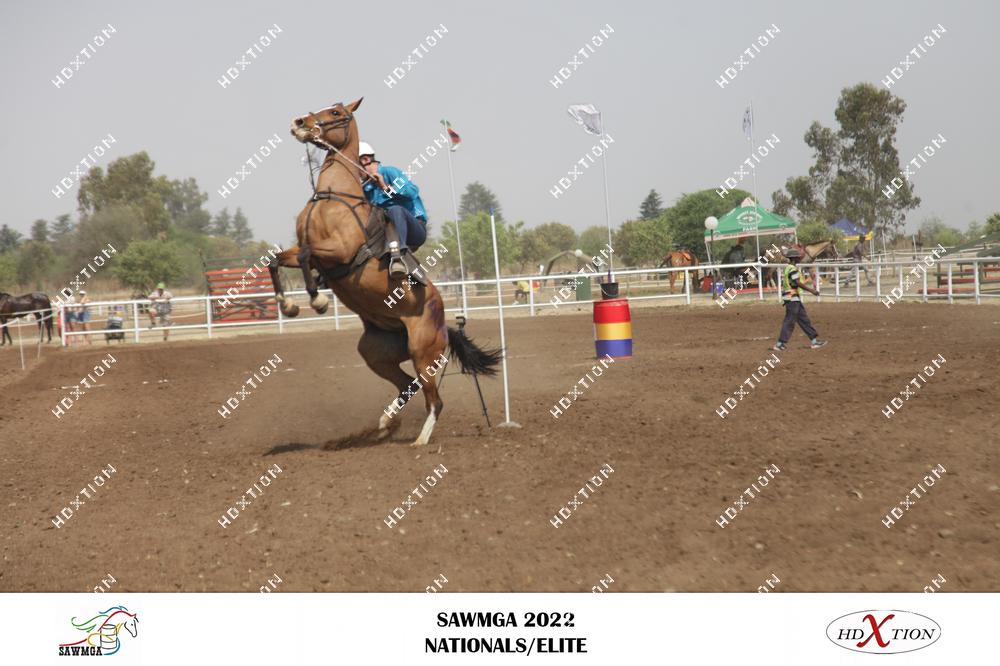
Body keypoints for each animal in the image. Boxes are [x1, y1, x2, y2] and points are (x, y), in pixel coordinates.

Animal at [268, 98, 502, 447]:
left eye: (336, 113)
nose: (299, 122)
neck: (333, 195)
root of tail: (444, 323)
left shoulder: (338, 251)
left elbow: (310, 256)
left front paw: (317, 300)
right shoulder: (300, 251)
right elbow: (275, 261)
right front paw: (288, 304)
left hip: (423, 352)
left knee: (434, 399)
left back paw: (420, 440)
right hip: (376, 353)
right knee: (408, 385)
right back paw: (384, 424)